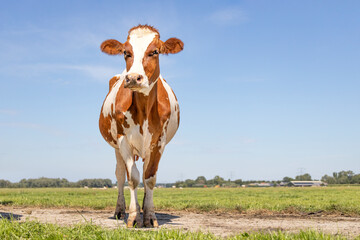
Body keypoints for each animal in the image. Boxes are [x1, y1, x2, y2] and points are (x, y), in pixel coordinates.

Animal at [97, 25, 183, 228]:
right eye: (125, 52)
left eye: (155, 51)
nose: (133, 78)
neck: (144, 109)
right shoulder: (123, 141)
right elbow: (133, 179)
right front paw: (134, 217)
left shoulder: (159, 141)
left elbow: (149, 178)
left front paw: (149, 216)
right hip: (117, 148)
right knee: (121, 176)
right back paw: (120, 210)